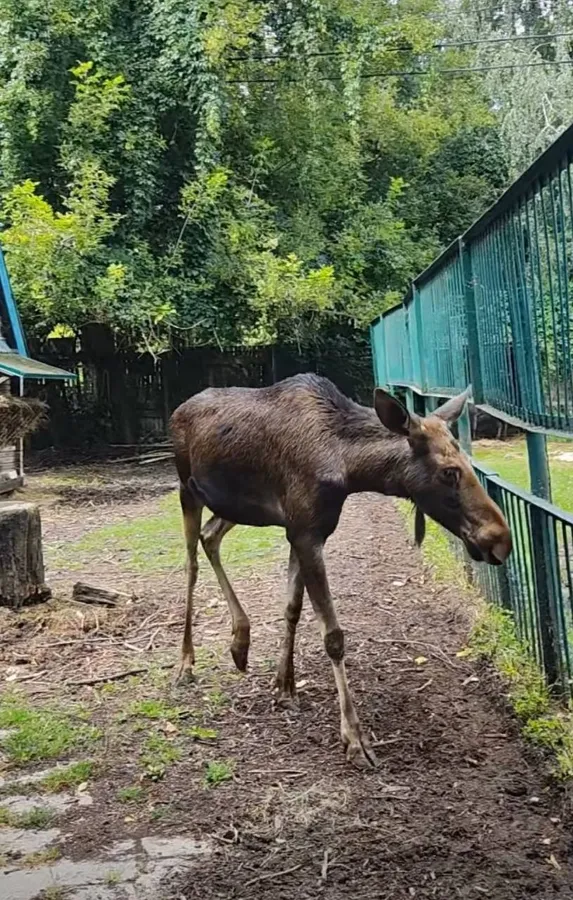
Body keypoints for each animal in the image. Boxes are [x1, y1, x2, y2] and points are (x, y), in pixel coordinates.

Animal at [169, 372, 510, 768]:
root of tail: (176, 411)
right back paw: (186, 663)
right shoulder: (305, 533)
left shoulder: (299, 530)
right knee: (191, 563)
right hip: (187, 490)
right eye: (449, 472)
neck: (351, 468)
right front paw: (354, 738)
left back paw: (241, 641)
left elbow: (292, 607)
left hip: (233, 507)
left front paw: (284, 685)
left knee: (210, 538)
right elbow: (333, 636)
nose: (501, 539)